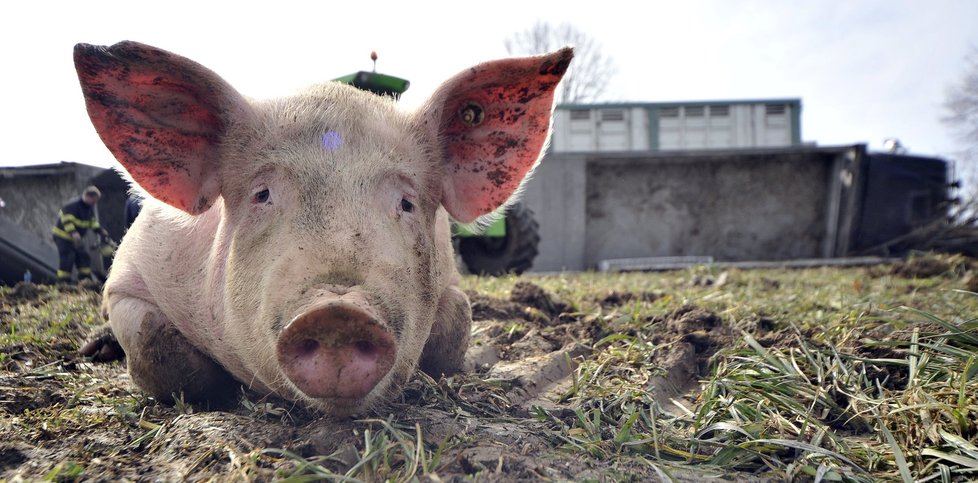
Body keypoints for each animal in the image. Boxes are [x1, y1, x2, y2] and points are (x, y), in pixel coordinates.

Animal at [74, 41, 572, 416]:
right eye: (262, 194)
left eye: (407, 203)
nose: (339, 311)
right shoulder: (127, 280)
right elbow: (154, 342)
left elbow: (455, 328)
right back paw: (94, 349)